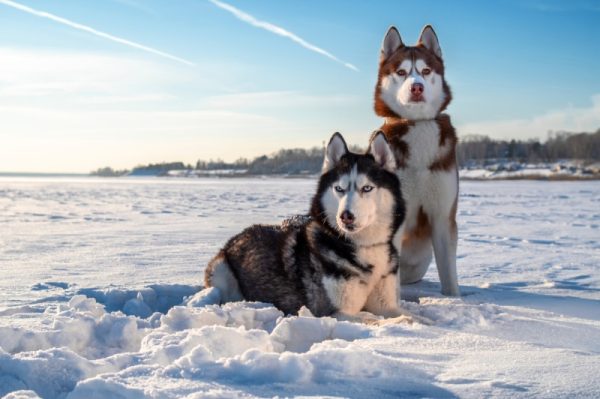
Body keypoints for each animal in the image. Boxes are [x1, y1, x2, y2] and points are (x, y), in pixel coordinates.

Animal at [372, 23, 462, 296]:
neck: (417, 124)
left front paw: (454, 298)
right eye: (401, 72)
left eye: (425, 71)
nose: (417, 87)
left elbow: (449, 275)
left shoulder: (443, 215)